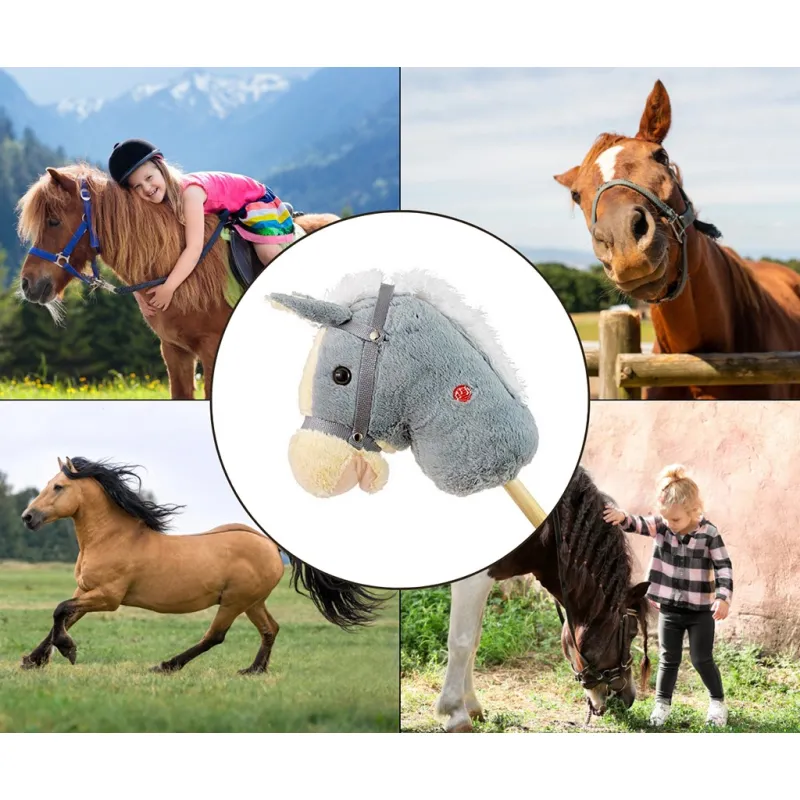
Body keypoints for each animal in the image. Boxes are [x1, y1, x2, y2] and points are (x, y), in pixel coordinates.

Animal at [19, 457, 385, 674]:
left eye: (59, 486)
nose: (28, 517)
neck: (112, 537)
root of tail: (270, 544)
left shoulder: (108, 597)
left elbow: (60, 610)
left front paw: (67, 651)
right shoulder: (86, 590)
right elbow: (63, 617)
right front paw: (33, 660)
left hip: (234, 601)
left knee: (215, 636)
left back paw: (167, 665)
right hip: (253, 602)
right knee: (270, 628)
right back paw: (253, 670)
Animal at [435, 466, 651, 732]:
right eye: (631, 633)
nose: (628, 698)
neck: (545, 531)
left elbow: (474, 641)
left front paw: (471, 705)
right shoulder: (473, 580)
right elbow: (462, 643)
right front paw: (456, 712)